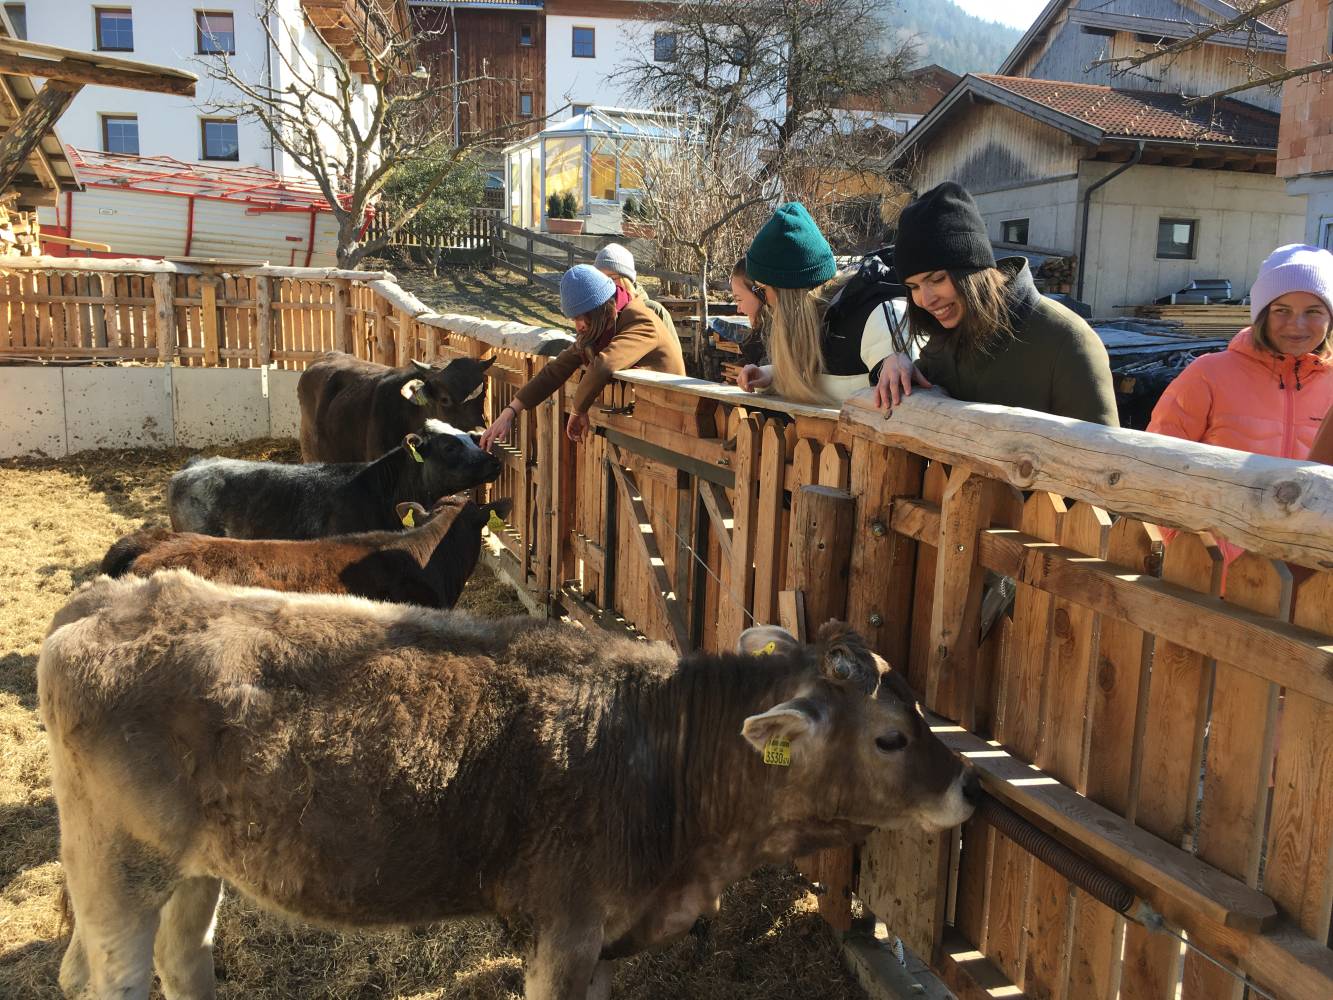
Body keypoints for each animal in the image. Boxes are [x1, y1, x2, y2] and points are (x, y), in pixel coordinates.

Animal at [36, 578, 975, 1000]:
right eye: (890, 736)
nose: (966, 786)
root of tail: (113, 595)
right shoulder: (562, 932)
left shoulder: (602, 940)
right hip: (120, 871)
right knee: (113, 975)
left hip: (195, 871)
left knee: (178, 957)